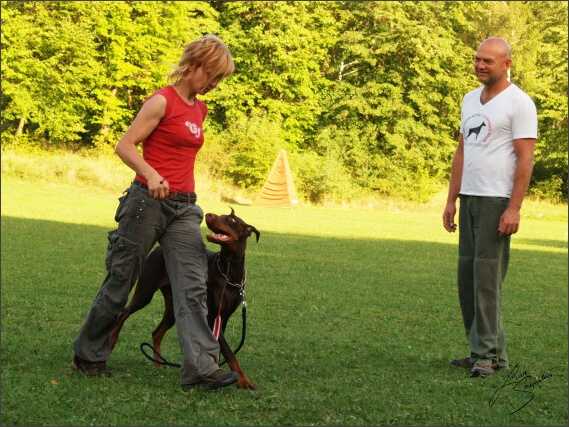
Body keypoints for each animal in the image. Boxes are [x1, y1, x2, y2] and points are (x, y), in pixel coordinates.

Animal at [108, 208, 260, 392]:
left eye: (231, 219)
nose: (209, 215)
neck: (229, 270)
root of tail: (158, 249)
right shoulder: (212, 316)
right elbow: (229, 353)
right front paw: (243, 381)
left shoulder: (223, 318)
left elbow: (219, 349)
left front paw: (217, 373)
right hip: (145, 292)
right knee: (124, 312)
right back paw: (112, 339)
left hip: (174, 307)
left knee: (157, 332)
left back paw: (159, 363)